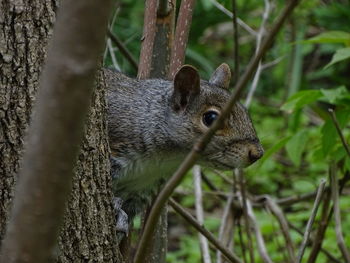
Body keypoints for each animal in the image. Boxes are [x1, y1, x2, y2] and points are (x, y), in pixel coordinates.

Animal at [105, 64, 264, 235]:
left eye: (245, 112)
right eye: (211, 118)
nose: (257, 153)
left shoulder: (140, 188)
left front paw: (123, 219)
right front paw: (116, 206)